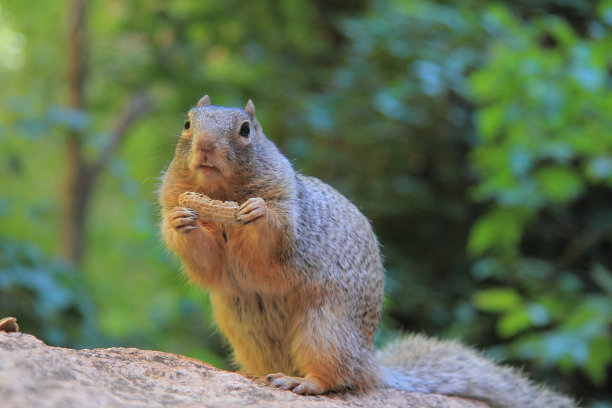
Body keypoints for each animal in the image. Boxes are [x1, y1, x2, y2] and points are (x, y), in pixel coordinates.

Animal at [159, 94, 580, 406]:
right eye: (187, 123)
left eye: (246, 130)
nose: (206, 146)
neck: (221, 196)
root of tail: (370, 362)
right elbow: (208, 265)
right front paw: (183, 219)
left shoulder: (290, 210)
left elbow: (273, 243)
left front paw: (256, 213)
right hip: (247, 331)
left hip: (325, 328)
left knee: (339, 378)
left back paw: (305, 383)